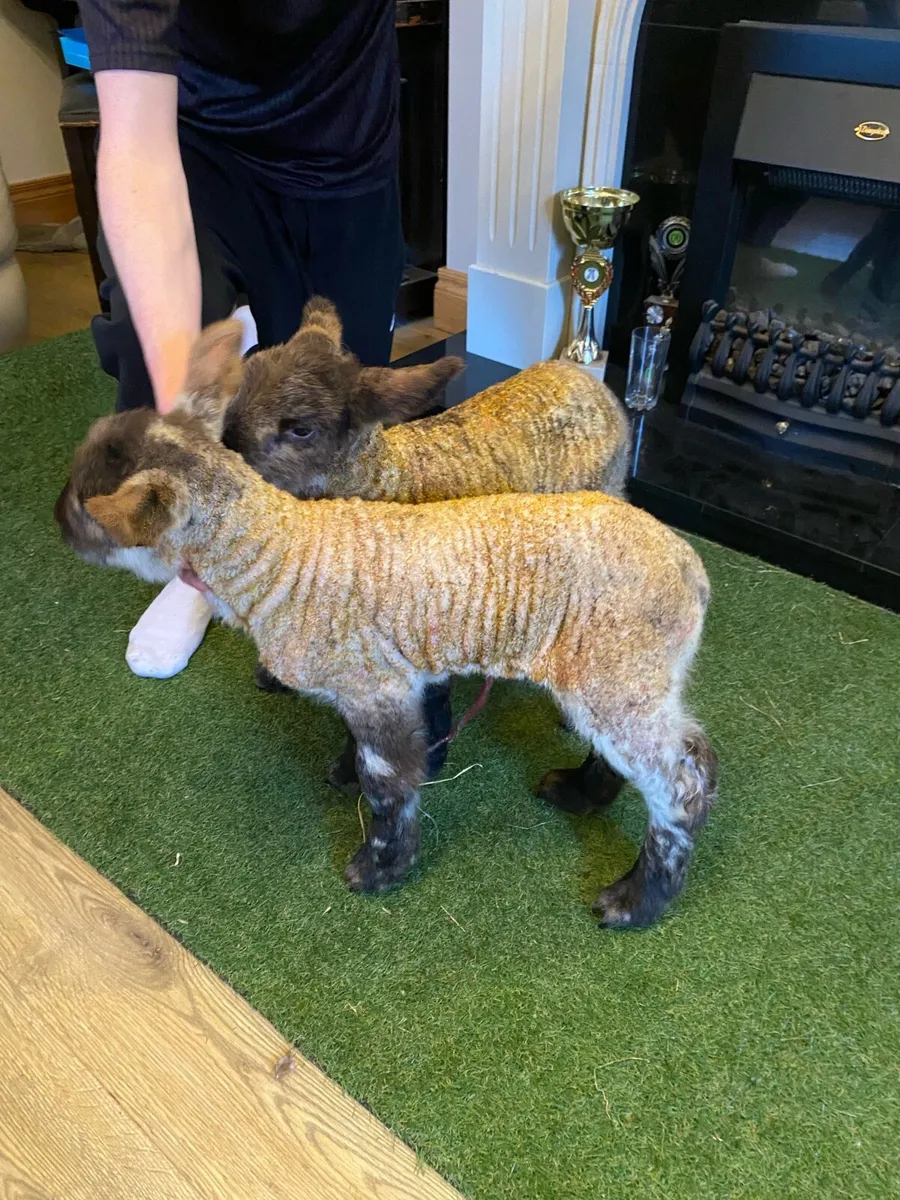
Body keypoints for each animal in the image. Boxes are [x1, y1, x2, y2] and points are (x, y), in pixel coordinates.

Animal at [55, 325, 718, 928]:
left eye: (87, 505)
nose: (57, 520)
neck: (283, 550)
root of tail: (692, 572)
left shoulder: (377, 686)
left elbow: (390, 784)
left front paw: (378, 869)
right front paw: (350, 780)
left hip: (616, 668)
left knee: (680, 787)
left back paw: (634, 901)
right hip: (634, 676)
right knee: (689, 750)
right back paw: (582, 795)